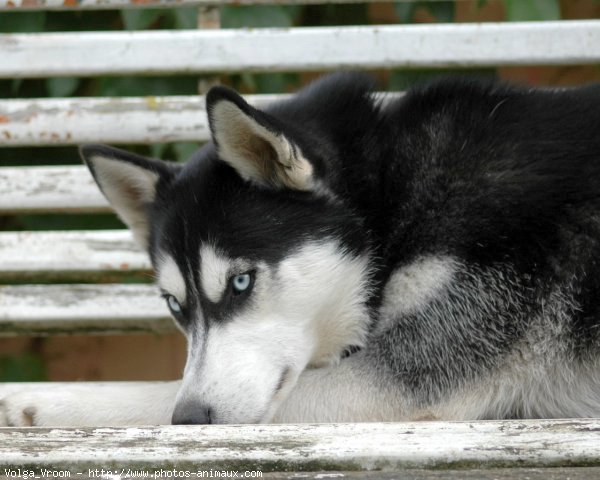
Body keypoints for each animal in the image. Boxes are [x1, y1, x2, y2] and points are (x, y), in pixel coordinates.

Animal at [1, 73, 600, 426]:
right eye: (175, 306)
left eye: (241, 282)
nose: (191, 418)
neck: (390, 204)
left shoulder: (412, 373)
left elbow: (152, 396)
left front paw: (42, 402)